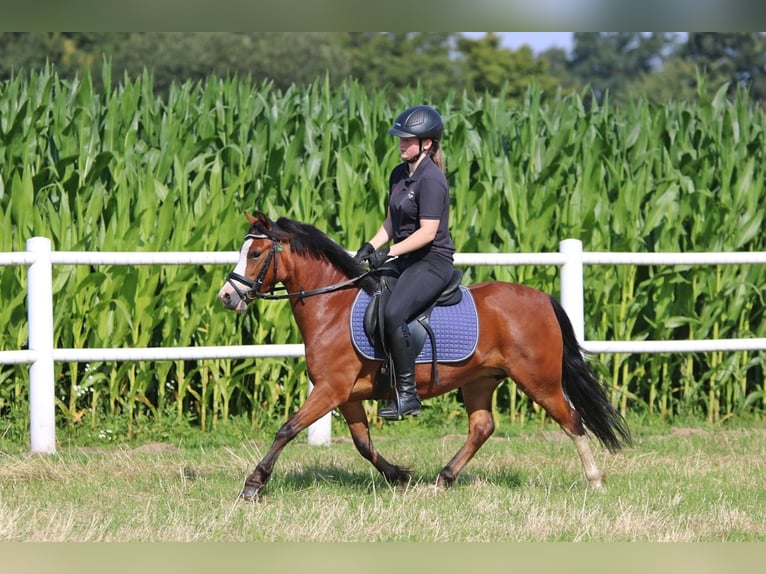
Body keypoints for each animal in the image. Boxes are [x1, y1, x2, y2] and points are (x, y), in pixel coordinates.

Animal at [219, 214, 632, 502]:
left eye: (255, 253)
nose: (226, 296)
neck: (332, 307)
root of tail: (542, 298)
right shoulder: (345, 395)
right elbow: (363, 443)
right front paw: (399, 476)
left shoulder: (330, 390)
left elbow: (287, 429)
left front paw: (253, 485)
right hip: (480, 380)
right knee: (482, 427)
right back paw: (442, 480)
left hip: (539, 380)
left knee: (572, 420)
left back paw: (595, 481)